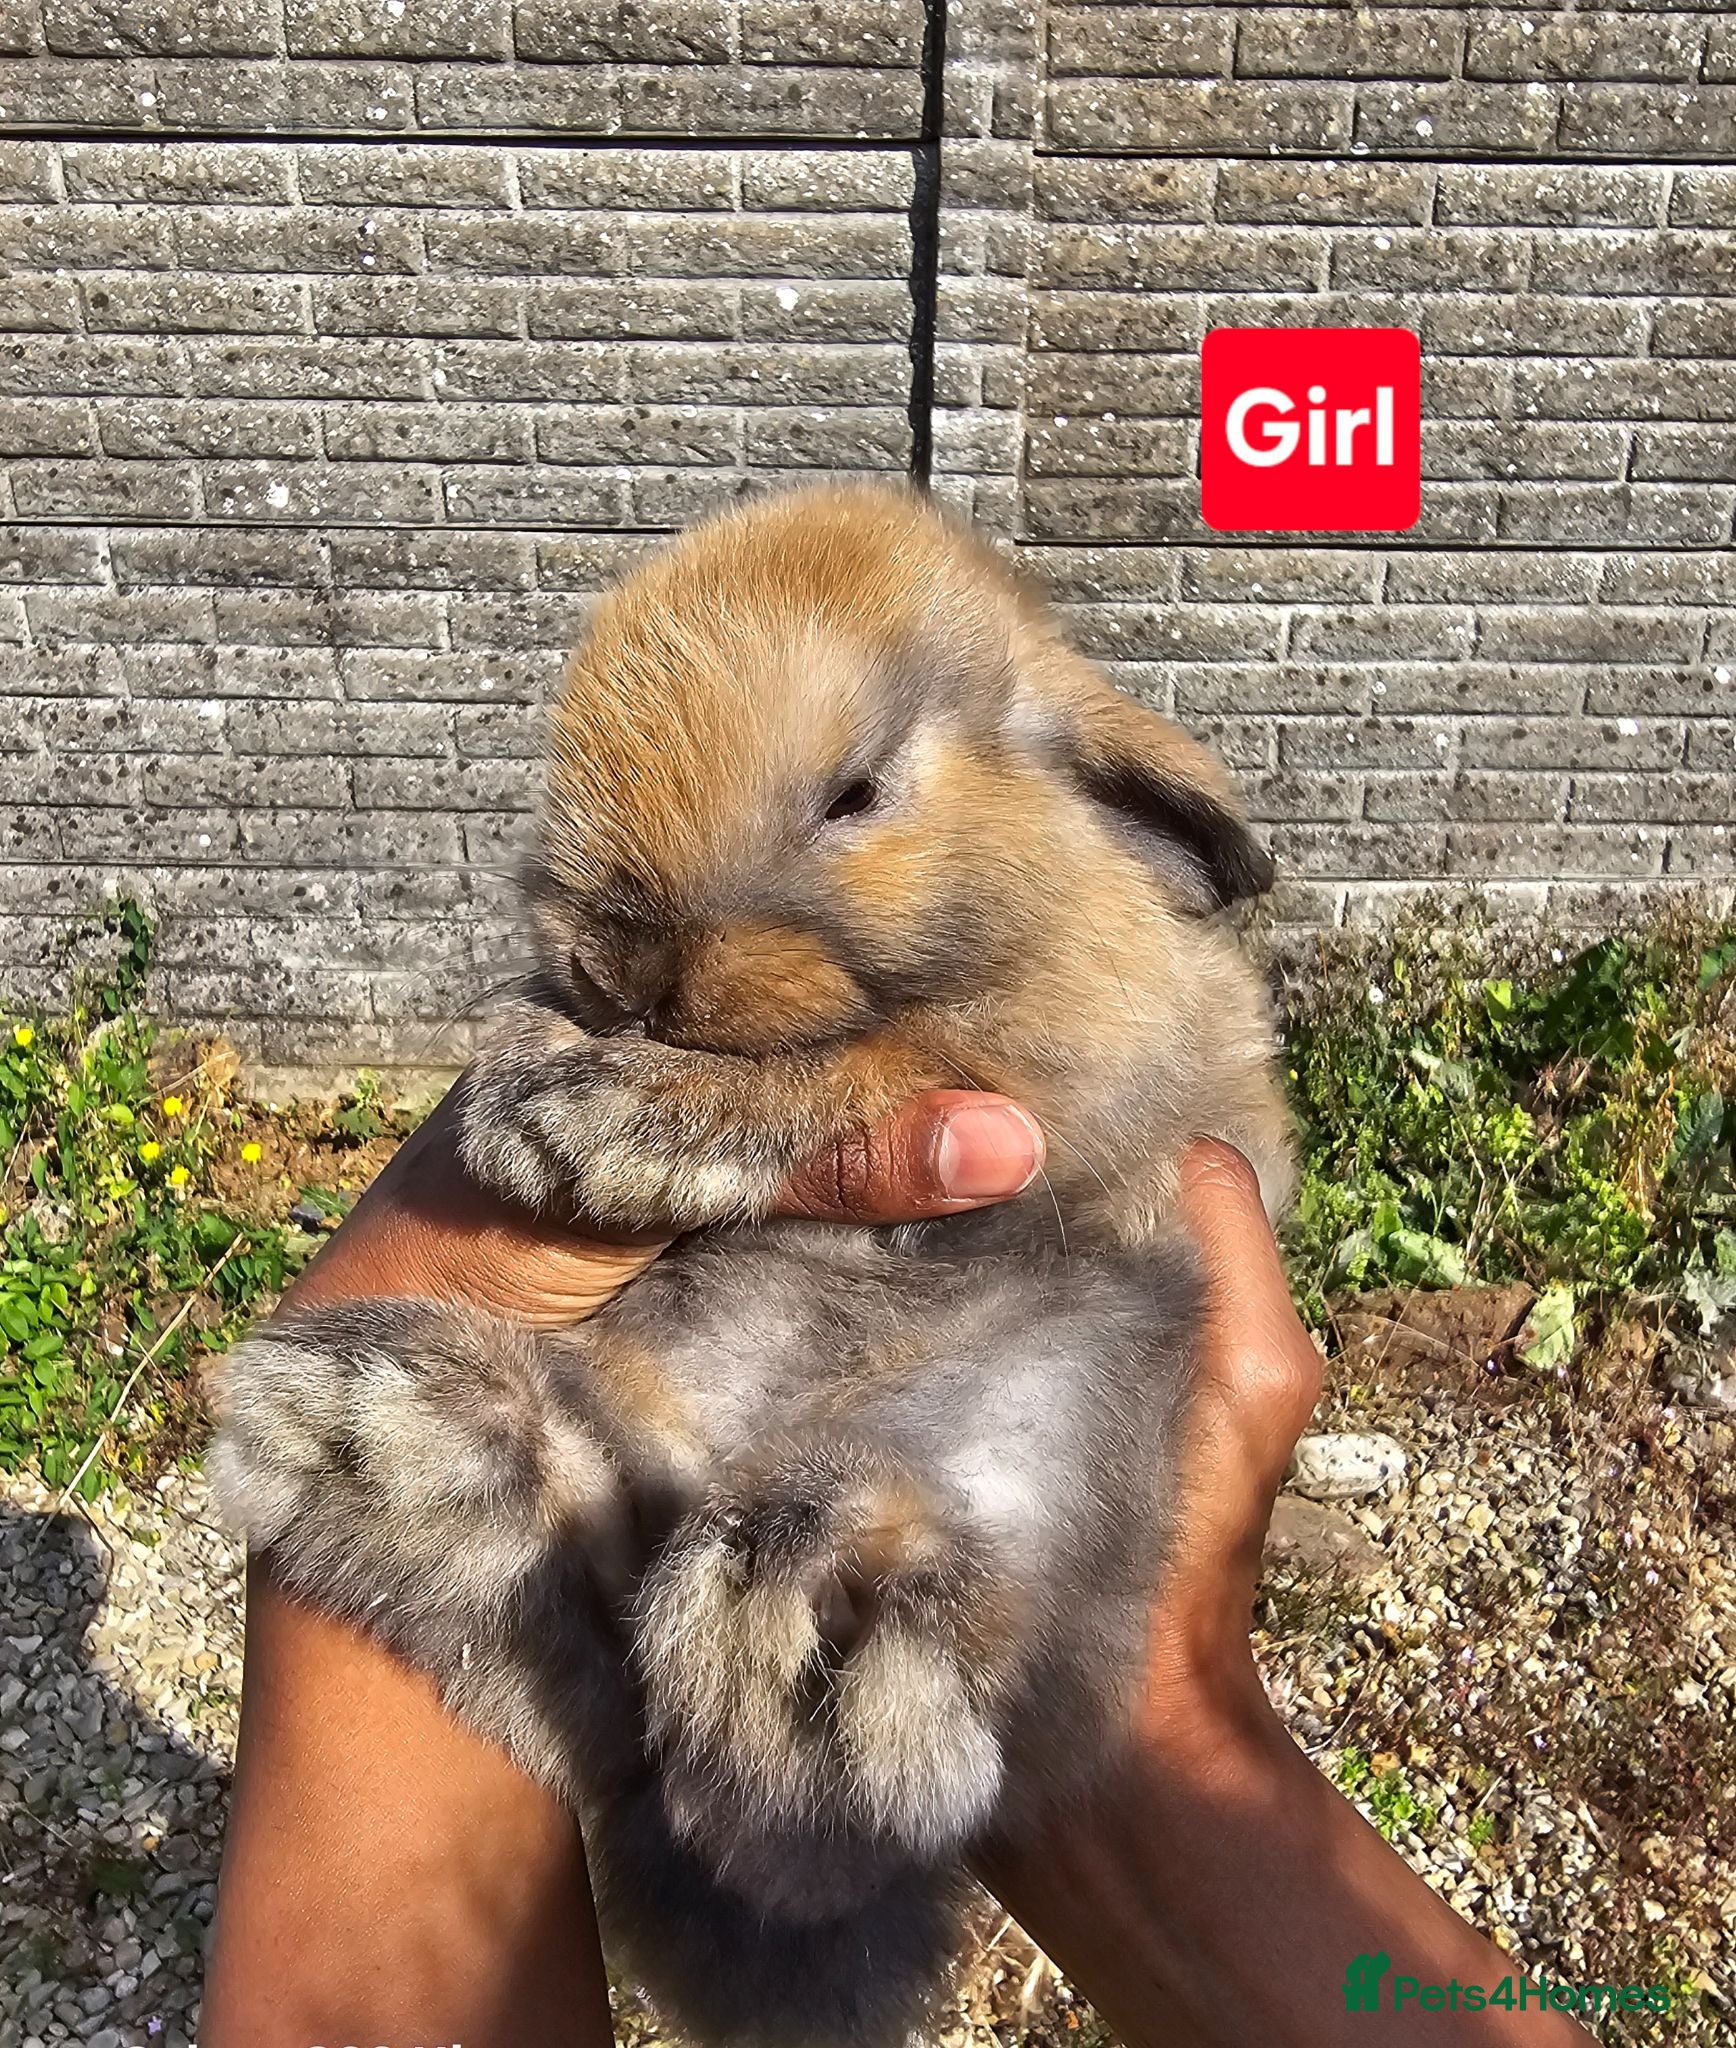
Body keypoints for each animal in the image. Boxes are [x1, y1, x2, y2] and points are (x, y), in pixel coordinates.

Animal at [211, 482, 1294, 2048]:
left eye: (853, 793)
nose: (622, 963)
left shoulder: (1054, 1062)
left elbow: (854, 1068)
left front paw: (578, 1118)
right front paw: (531, 1069)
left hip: (1058, 1395)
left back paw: (799, 1658)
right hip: (648, 1388)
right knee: (589, 1527)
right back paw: (377, 1436)